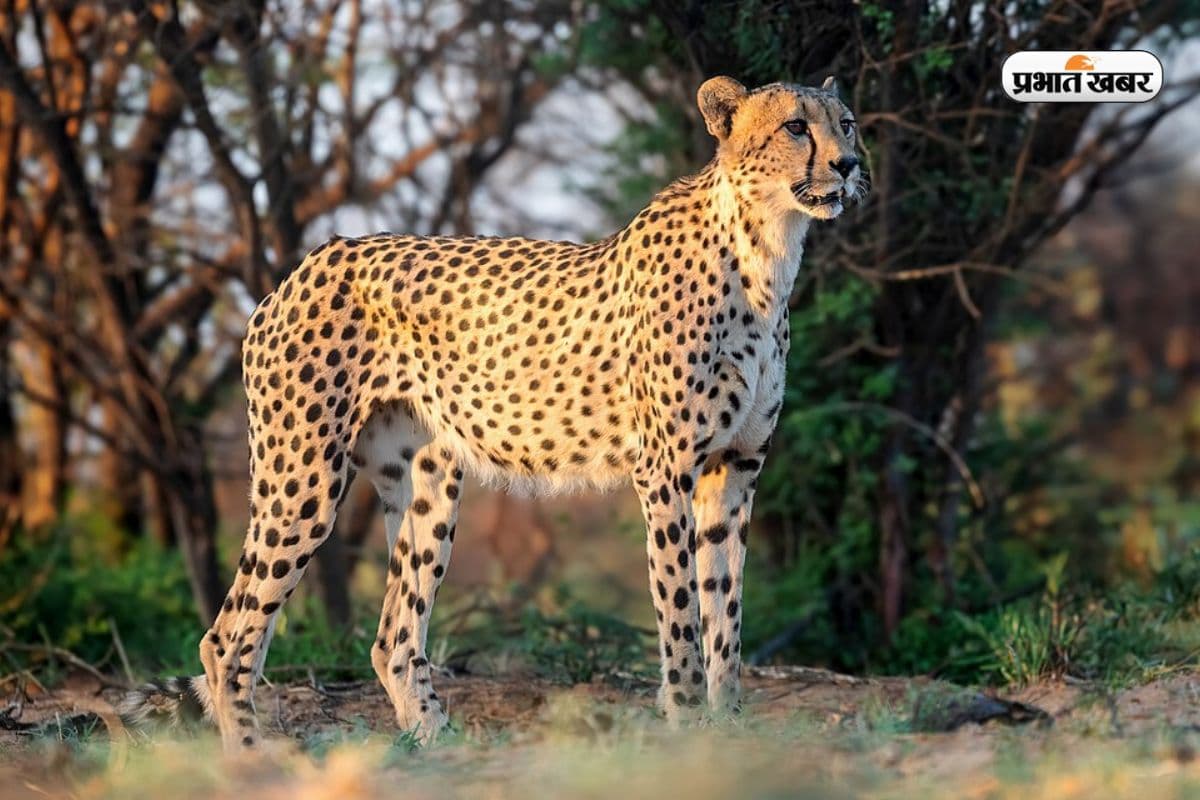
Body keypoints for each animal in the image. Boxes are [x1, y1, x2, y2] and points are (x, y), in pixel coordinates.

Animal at [118, 75, 868, 752]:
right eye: (795, 127)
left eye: (848, 122)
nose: (850, 165)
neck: (766, 251)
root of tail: (309, 262)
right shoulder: (666, 472)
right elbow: (682, 613)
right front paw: (687, 730)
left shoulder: (734, 471)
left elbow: (726, 615)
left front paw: (729, 729)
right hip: (302, 479)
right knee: (227, 637)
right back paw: (252, 756)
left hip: (428, 484)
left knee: (392, 638)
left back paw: (439, 748)